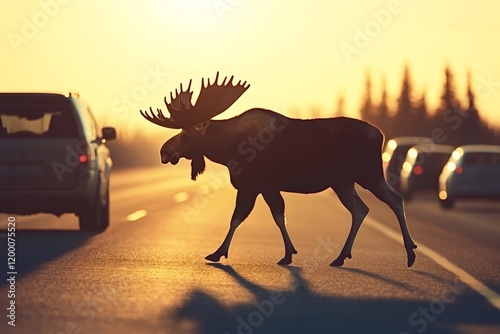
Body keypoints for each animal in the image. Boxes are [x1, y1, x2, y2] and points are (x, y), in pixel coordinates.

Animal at [139, 72, 416, 266]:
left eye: (186, 135)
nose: (164, 152)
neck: (229, 151)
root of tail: (381, 134)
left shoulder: (254, 184)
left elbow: (240, 217)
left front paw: (218, 253)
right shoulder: (265, 186)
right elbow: (277, 215)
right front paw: (288, 253)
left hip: (368, 173)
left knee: (395, 198)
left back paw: (410, 253)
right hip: (342, 182)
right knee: (360, 209)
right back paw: (340, 256)